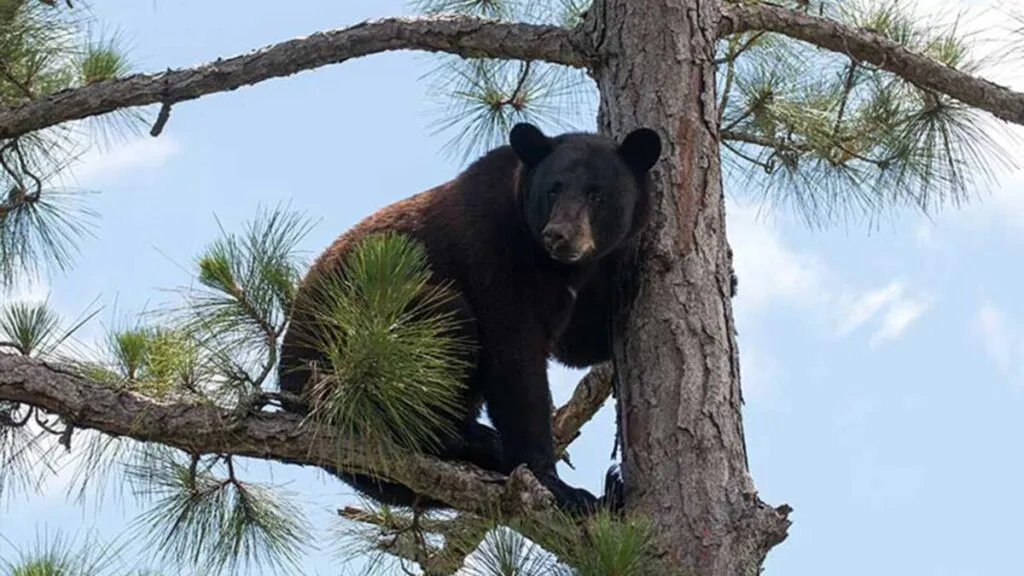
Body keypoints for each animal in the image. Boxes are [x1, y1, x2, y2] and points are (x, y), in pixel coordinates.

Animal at [277, 122, 662, 515]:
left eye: (596, 194)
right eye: (553, 189)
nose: (559, 235)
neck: (555, 267)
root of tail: (289, 383)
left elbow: (579, 344)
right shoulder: (494, 255)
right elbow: (515, 361)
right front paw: (560, 487)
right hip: (360, 336)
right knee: (444, 325)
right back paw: (473, 439)